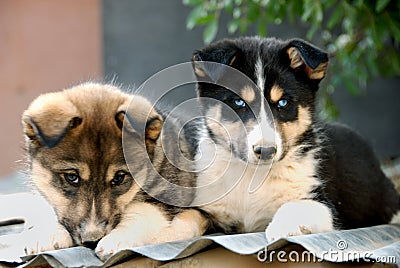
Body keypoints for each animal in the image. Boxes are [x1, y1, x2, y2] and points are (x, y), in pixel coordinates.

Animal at [189, 36, 398, 241]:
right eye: (238, 102)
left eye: (283, 103)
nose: (266, 151)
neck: (253, 175)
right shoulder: (207, 205)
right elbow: (189, 216)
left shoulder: (324, 203)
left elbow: (296, 205)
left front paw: (282, 228)